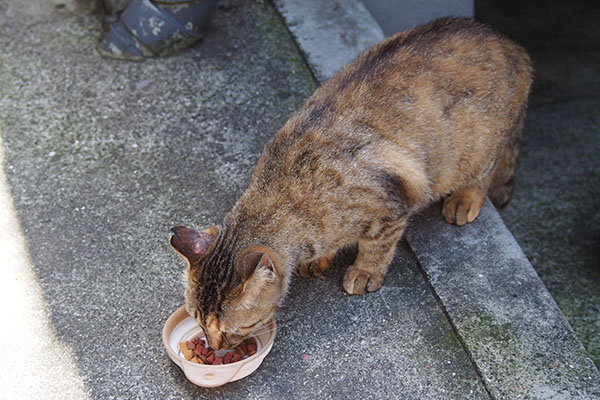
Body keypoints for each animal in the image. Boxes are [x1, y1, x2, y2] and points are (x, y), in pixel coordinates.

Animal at [169, 18, 528, 350]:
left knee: (486, 171)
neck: (282, 190)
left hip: (475, 145)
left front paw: (365, 272)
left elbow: (377, 246)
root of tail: (510, 44)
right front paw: (317, 260)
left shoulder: (393, 199)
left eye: (230, 330)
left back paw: (465, 200)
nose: (213, 347)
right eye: (198, 322)